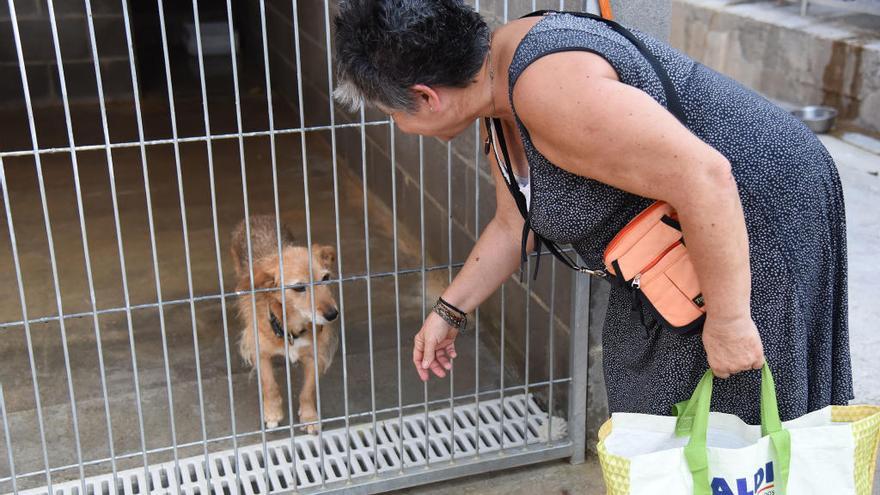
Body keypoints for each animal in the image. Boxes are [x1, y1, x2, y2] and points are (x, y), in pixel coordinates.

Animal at [230, 217, 340, 434]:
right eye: (299, 287)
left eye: (326, 278)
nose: (333, 315)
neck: (291, 326)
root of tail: (257, 217)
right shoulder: (260, 353)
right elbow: (269, 385)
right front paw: (273, 413)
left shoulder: (315, 355)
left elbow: (308, 390)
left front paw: (309, 416)